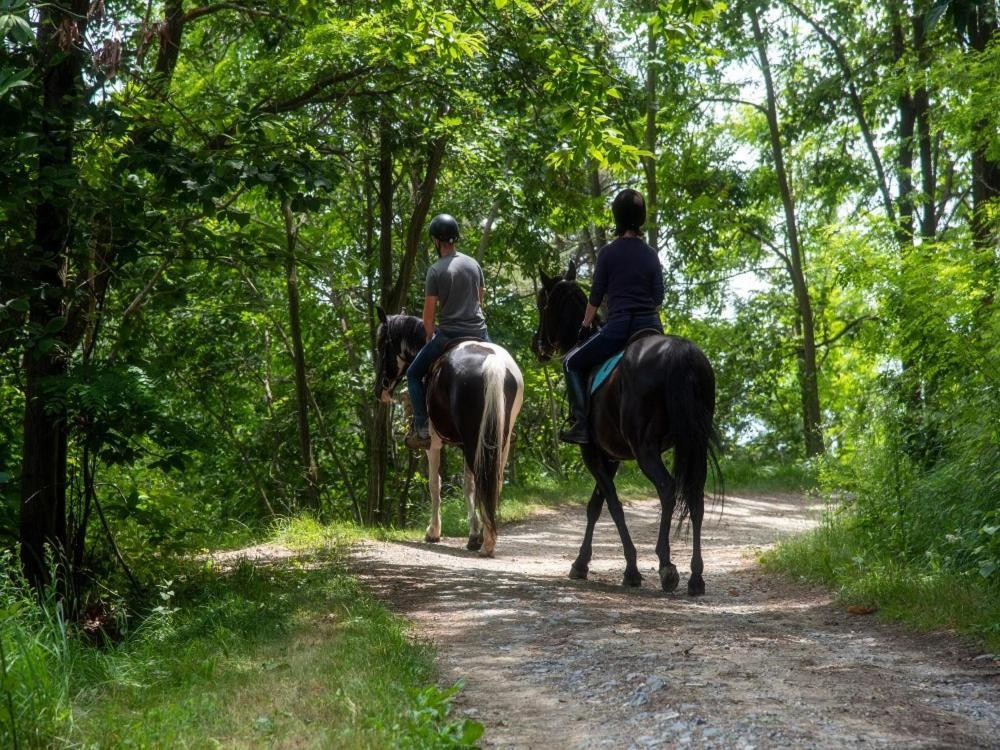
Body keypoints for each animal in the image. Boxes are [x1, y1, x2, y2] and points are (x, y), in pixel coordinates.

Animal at [376, 306, 528, 560]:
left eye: (381, 345)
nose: (381, 389)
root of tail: (493, 363)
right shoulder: (467, 443)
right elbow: (468, 485)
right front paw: (473, 533)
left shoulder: (434, 444)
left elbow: (434, 484)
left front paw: (433, 532)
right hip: (498, 440)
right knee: (493, 479)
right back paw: (487, 535)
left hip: (473, 440)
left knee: (483, 478)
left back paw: (488, 542)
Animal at [532, 262, 720, 596]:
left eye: (542, 303)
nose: (536, 346)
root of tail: (681, 353)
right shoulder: (612, 456)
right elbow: (595, 505)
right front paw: (581, 563)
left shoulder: (593, 453)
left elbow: (612, 504)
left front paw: (630, 569)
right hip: (693, 443)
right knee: (694, 494)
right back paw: (696, 577)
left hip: (645, 449)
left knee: (668, 488)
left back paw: (666, 566)